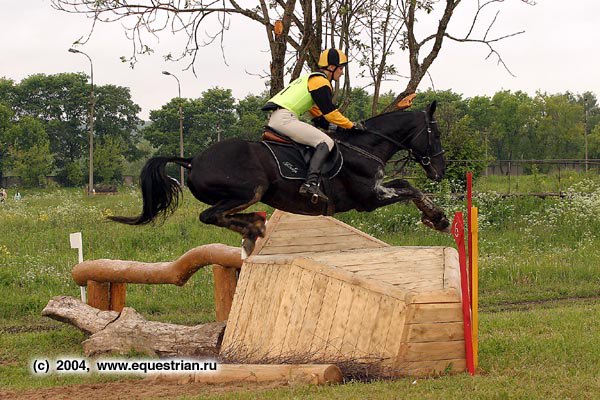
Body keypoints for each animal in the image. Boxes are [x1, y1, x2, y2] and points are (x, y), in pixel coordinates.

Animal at [110, 101, 450, 255]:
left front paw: (437, 218)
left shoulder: (378, 190)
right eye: (435, 134)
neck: (366, 145)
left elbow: (406, 185)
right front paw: (438, 219)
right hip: (250, 189)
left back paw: (252, 226)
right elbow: (410, 188)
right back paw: (251, 227)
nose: (440, 170)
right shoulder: (369, 197)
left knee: (219, 216)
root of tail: (192, 160)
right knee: (210, 216)